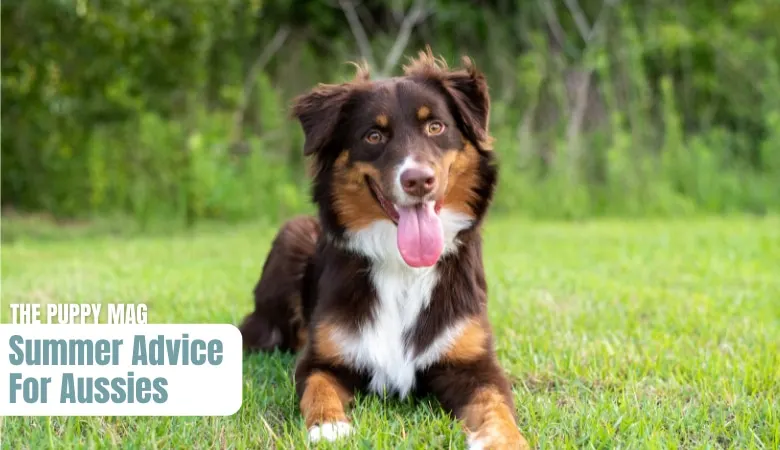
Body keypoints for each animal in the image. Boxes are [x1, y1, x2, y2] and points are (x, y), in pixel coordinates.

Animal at [239, 49, 532, 450]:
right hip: (290, 238)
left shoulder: (474, 363)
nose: (418, 180)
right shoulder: (322, 359)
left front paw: (504, 440)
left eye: (435, 127)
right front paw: (329, 426)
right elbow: (317, 387)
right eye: (374, 135)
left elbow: (496, 405)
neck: (403, 267)